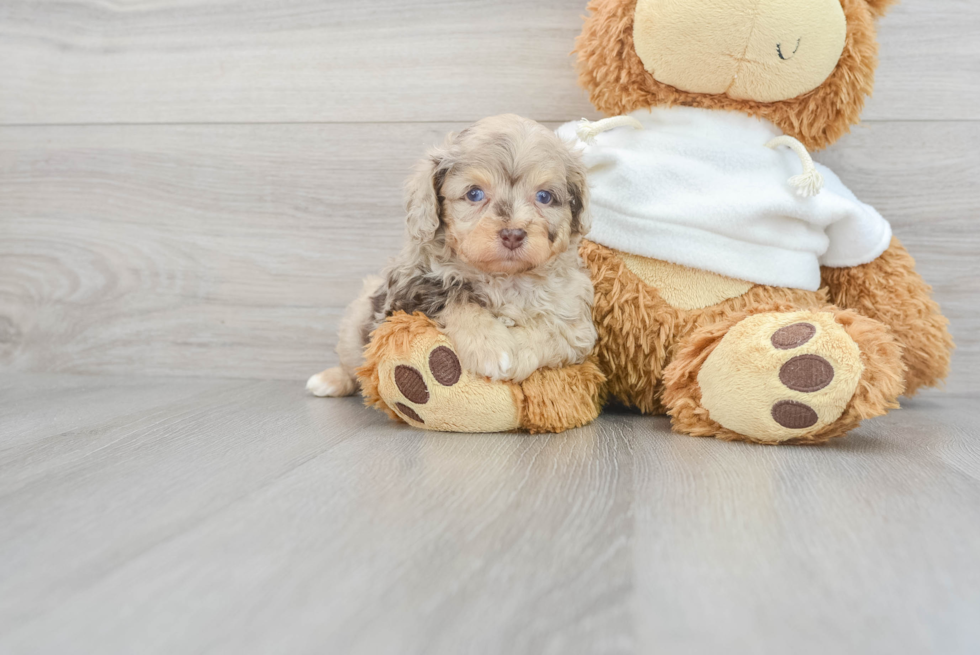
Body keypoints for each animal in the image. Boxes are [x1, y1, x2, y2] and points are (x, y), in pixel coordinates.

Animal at [310, 114, 592, 398]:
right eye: (474, 193)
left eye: (544, 197)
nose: (513, 234)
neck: (503, 278)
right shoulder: (410, 290)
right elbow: (457, 300)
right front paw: (492, 347)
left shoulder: (575, 323)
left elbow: (551, 331)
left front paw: (518, 352)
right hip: (357, 317)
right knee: (352, 365)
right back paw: (329, 380)